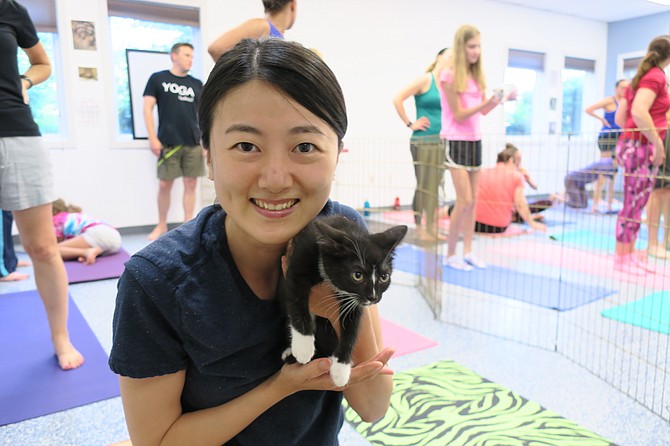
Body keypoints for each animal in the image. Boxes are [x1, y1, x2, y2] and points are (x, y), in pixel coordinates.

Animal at [280, 216, 406, 386]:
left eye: (384, 277)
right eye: (357, 275)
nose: (373, 297)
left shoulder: (354, 300)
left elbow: (352, 325)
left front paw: (341, 368)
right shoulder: (298, 265)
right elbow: (297, 301)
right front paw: (303, 346)